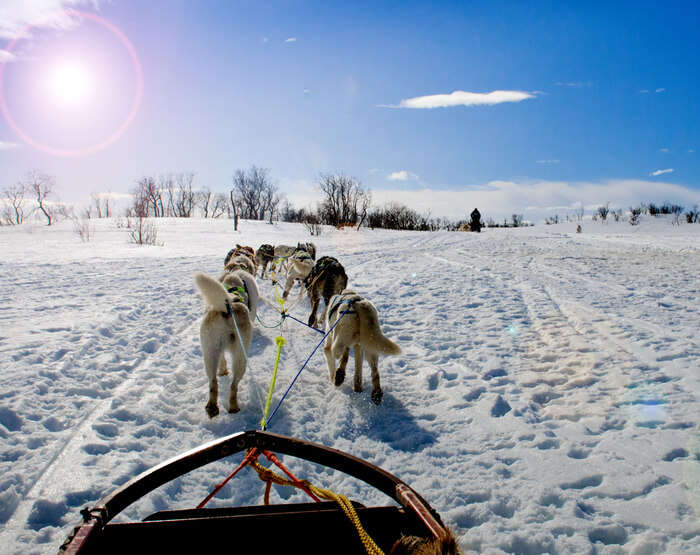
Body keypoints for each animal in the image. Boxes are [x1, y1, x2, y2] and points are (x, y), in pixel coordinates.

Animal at [194, 272, 260, 420]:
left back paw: (212, 407)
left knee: (213, 383)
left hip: (210, 352)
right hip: (241, 356)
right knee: (234, 385)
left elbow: (222, 359)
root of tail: (228, 307)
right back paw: (234, 408)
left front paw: (223, 371)